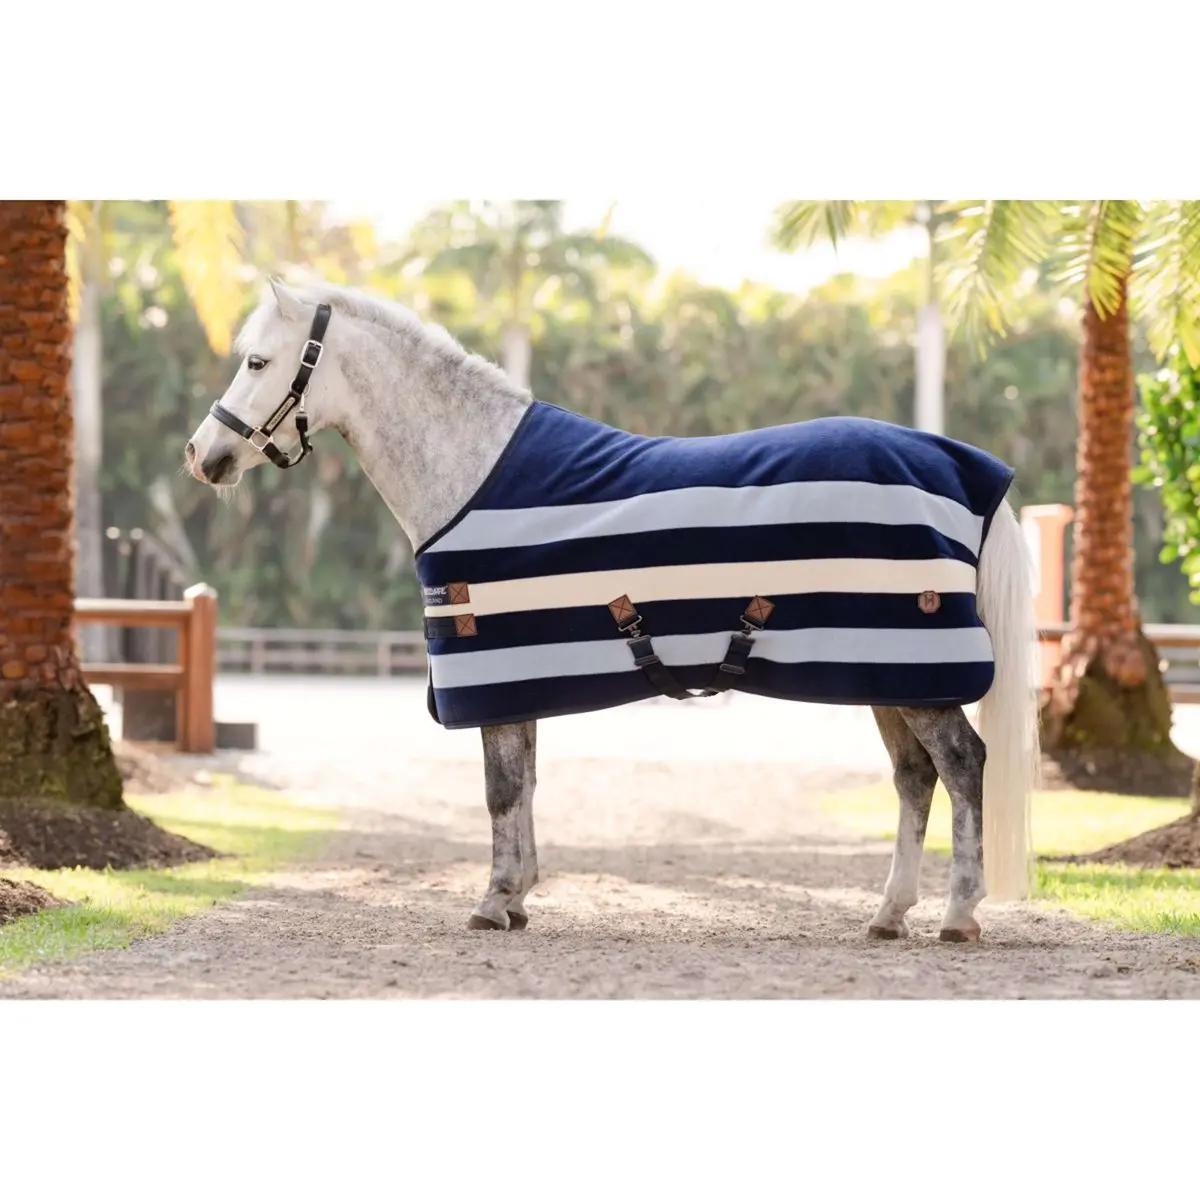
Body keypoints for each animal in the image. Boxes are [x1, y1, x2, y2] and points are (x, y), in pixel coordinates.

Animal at [185, 277, 1039, 943]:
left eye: (258, 361)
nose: (202, 457)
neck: (473, 469)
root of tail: (964, 468)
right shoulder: (515, 681)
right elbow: (525, 784)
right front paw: (519, 897)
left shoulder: (491, 673)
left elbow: (500, 790)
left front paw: (493, 901)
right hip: (886, 673)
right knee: (913, 778)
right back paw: (889, 913)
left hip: (915, 676)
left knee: (961, 766)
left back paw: (958, 914)